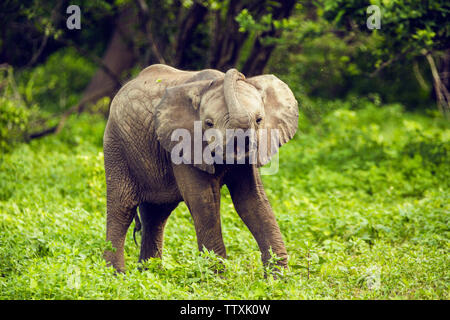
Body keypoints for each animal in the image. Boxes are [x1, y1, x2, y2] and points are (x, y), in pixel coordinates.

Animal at [102, 64, 298, 272]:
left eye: (259, 120)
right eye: (209, 123)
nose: (238, 74)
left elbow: (251, 200)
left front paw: (279, 279)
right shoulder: (184, 144)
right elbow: (204, 201)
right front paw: (217, 278)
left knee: (156, 214)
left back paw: (149, 274)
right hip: (116, 144)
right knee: (122, 208)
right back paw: (115, 275)